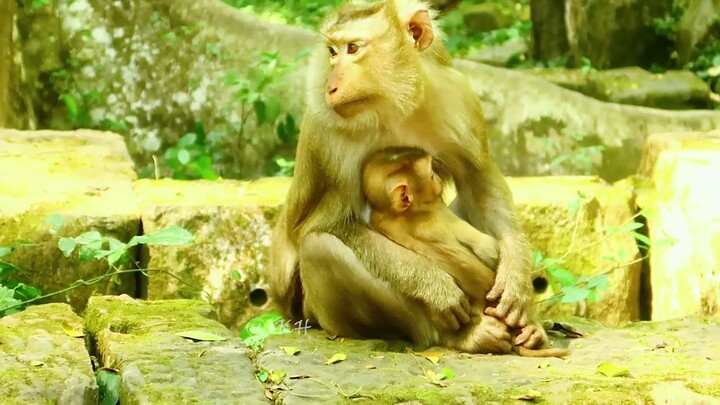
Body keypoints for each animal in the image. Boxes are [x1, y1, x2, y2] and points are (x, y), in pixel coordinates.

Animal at [268, 0, 544, 354]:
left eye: (352, 48)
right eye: (332, 51)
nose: (331, 86)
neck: (393, 105)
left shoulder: (459, 98)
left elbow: (478, 181)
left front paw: (517, 281)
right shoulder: (327, 131)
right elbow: (329, 224)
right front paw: (434, 286)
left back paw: (529, 327)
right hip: (319, 315)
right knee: (320, 248)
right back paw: (460, 334)